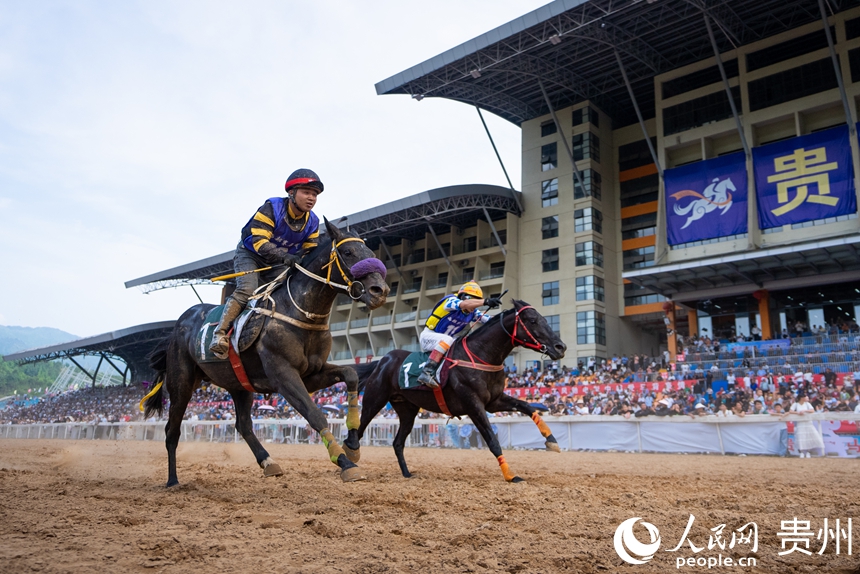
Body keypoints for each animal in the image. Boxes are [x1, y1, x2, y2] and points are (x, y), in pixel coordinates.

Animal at [143, 218, 389, 486]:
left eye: (370, 252)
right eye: (348, 252)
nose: (380, 290)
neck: (299, 312)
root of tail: (178, 324)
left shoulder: (311, 374)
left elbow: (350, 375)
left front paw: (352, 445)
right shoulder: (283, 374)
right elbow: (315, 414)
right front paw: (344, 462)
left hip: (239, 384)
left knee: (243, 425)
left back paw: (269, 462)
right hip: (182, 382)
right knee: (171, 430)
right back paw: (173, 480)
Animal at [353, 299, 567, 482]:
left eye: (545, 319)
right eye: (532, 320)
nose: (561, 347)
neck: (481, 355)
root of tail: (383, 360)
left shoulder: (494, 401)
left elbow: (527, 407)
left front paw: (552, 440)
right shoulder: (473, 405)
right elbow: (492, 440)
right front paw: (510, 475)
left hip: (407, 410)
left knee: (397, 442)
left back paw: (406, 473)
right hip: (374, 400)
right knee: (357, 433)